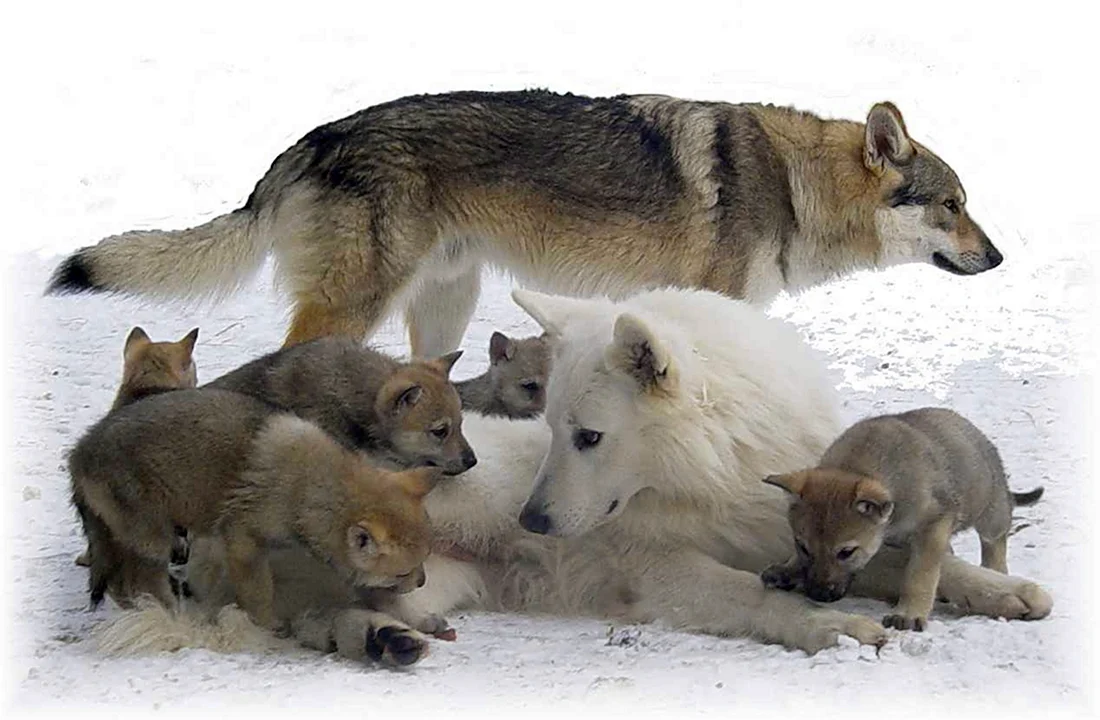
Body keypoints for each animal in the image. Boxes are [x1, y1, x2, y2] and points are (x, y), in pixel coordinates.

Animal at [46, 91, 1002, 356]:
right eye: (953, 205)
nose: (995, 256)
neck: (795, 186)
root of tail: (313, 139)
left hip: (446, 308)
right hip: (359, 305)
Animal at [760, 407, 1045, 631]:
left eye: (846, 552)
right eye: (803, 547)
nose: (818, 595)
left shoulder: (933, 526)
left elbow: (920, 574)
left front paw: (909, 613)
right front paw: (787, 568)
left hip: (991, 512)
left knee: (995, 541)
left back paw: (995, 570)